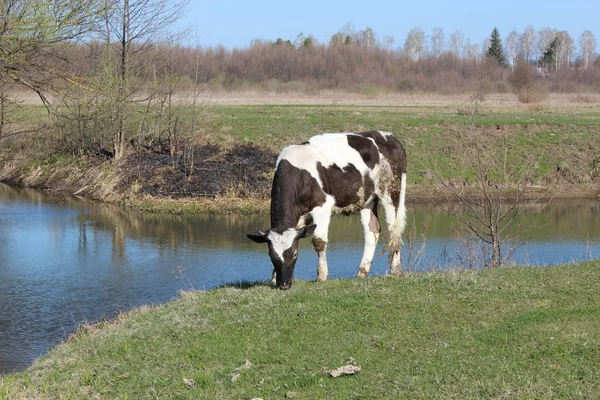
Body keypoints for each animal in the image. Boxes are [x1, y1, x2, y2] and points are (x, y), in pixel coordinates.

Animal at [245, 131, 408, 290]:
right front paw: (273, 278)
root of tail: (389, 137)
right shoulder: (297, 218)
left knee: (393, 230)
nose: (284, 284)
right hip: (367, 200)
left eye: (295, 254)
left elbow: (319, 241)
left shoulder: (321, 207)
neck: (299, 174)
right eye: (271, 255)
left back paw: (395, 269)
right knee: (372, 231)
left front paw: (322, 276)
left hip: (390, 192)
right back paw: (362, 272)